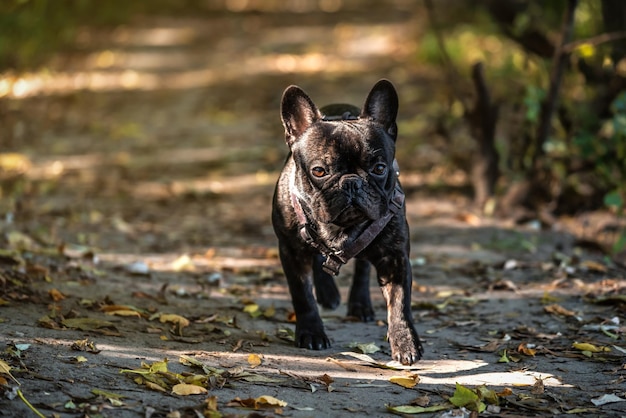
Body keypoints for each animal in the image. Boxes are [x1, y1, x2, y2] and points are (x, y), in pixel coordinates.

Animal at [270, 79, 422, 366]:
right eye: (319, 171)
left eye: (379, 168)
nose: (351, 182)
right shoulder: (291, 251)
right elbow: (302, 295)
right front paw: (311, 333)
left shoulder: (395, 257)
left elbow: (399, 303)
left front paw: (405, 343)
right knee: (320, 260)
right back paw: (328, 294)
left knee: (362, 268)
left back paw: (359, 304)